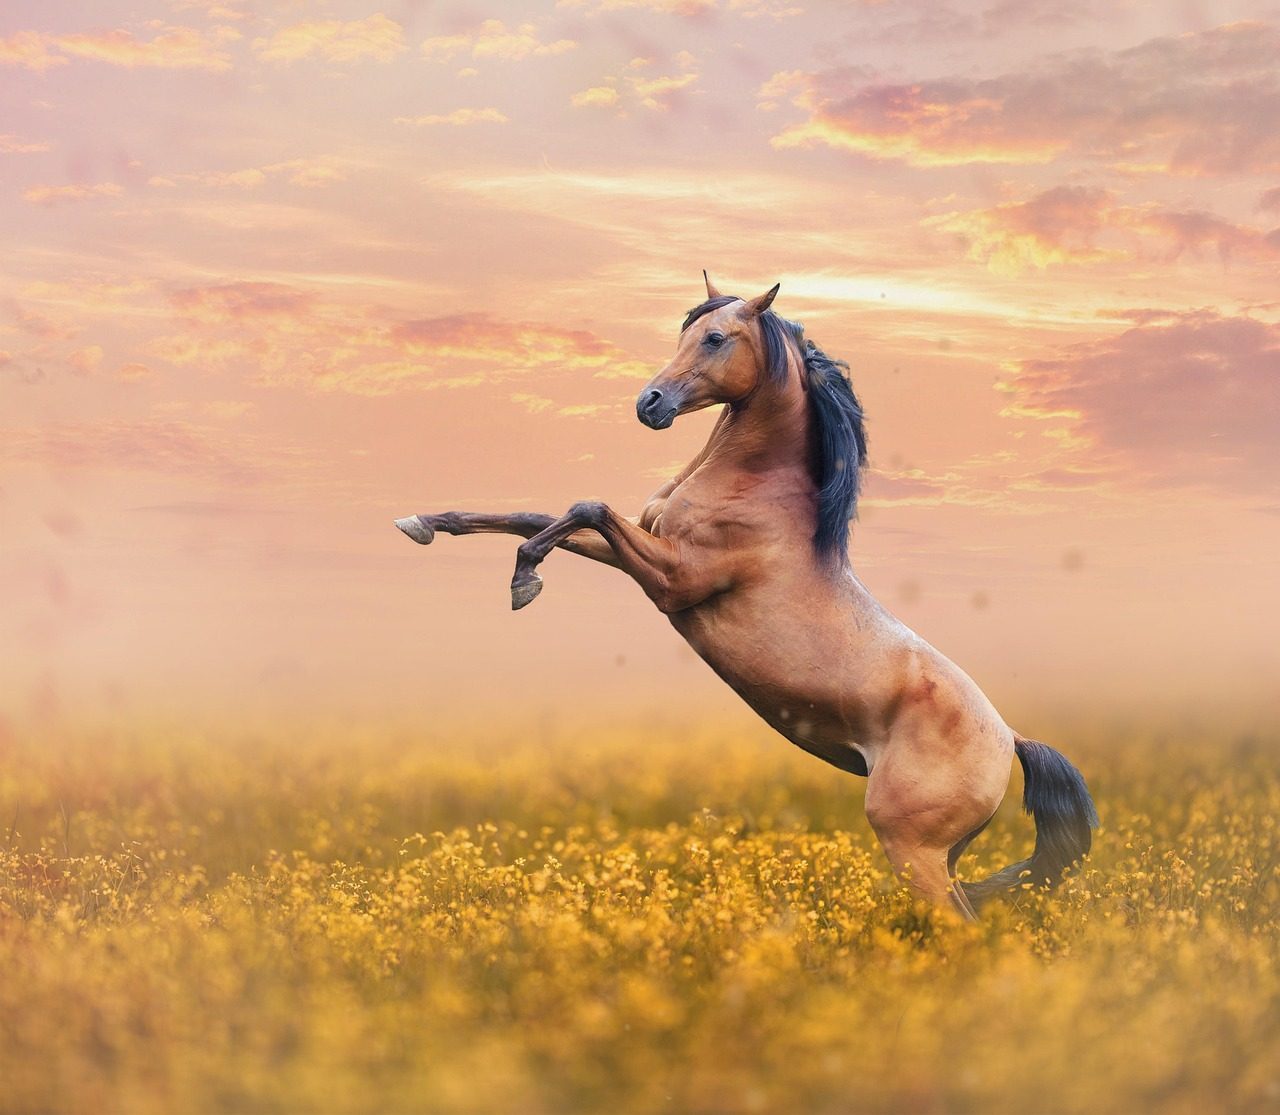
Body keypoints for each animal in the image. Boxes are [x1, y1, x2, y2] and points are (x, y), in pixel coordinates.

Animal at [395, 274, 1098, 919]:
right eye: (683, 332)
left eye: (715, 337)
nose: (649, 402)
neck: (755, 490)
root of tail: (1011, 740)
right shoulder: (640, 548)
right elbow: (536, 514)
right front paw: (425, 523)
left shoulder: (672, 580)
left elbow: (582, 507)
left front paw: (524, 582)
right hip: (941, 859)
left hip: (912, 850)